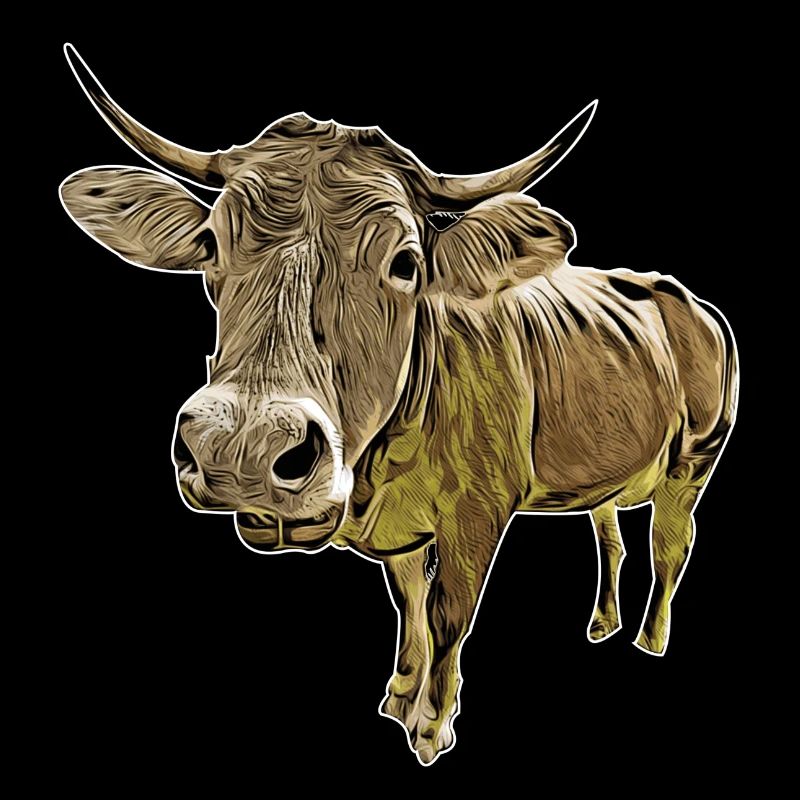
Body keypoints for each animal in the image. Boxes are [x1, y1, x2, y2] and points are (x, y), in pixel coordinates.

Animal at [59, 44, 738, 765]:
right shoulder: (403, 530)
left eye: (406, 262)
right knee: (610, 535)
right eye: (212, 245)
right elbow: (409, 599)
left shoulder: (478, 513)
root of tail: (680, 295)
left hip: (695, 460)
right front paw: (401, 692)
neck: (387, 465)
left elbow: (447, 611)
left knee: (671, 546)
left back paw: (650, 641)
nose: (243, 447)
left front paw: (433, 722)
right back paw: (604, 624)